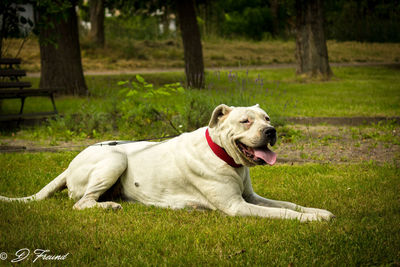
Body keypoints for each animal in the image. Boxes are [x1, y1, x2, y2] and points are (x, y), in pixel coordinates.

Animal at [0, 104, 334, 222]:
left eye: (267, 118)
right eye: (245, 121)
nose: (271, 131)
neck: (223, 155)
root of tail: (69, 165)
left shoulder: (251, 197)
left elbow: (288, 204)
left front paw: (318, 211)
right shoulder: (238, 206)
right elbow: (283, 213)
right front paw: (312, 220)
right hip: (115, 158)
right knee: (81, 203)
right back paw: (108, 206)